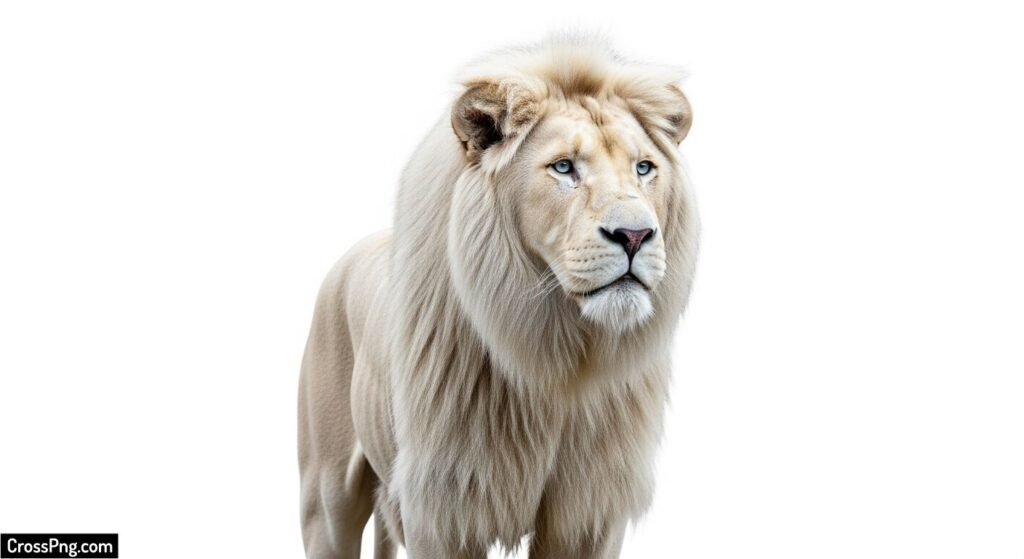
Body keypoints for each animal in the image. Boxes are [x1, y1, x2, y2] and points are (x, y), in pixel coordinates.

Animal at [298, 36, 699, 558]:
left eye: (644, 168)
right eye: (564, 167)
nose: (635, 235)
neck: (561, 356)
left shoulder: (589, 511)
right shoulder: (444, 507)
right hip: (327, 494)